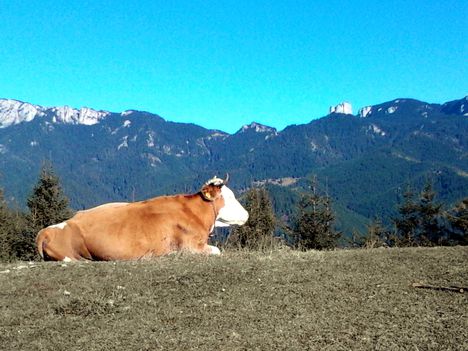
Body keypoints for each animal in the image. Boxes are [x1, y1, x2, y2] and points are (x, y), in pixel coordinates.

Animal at [36, 176, 249, 262]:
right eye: (230, 197)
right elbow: (217, 250)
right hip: (69, 254)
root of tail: (44, 231)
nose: (247, 214)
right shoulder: (191, 246)